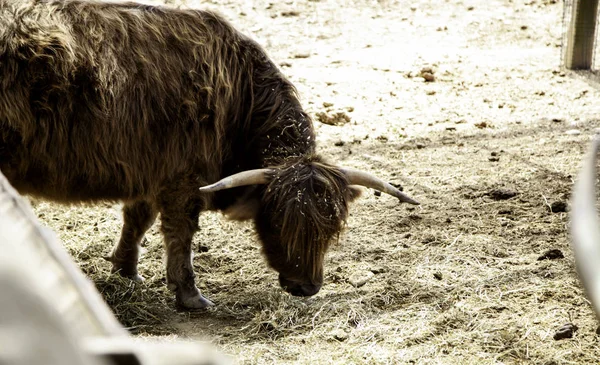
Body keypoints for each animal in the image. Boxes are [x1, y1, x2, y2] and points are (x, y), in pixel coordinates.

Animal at [0, 0, 420, 308]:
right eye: (278, 222)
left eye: (332, 227)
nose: (306, 288)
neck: (239, 99)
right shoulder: (183, 180)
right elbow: (180, 233)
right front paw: (190, 295)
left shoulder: (152, 172)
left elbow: (138, 219)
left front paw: (126, 270)